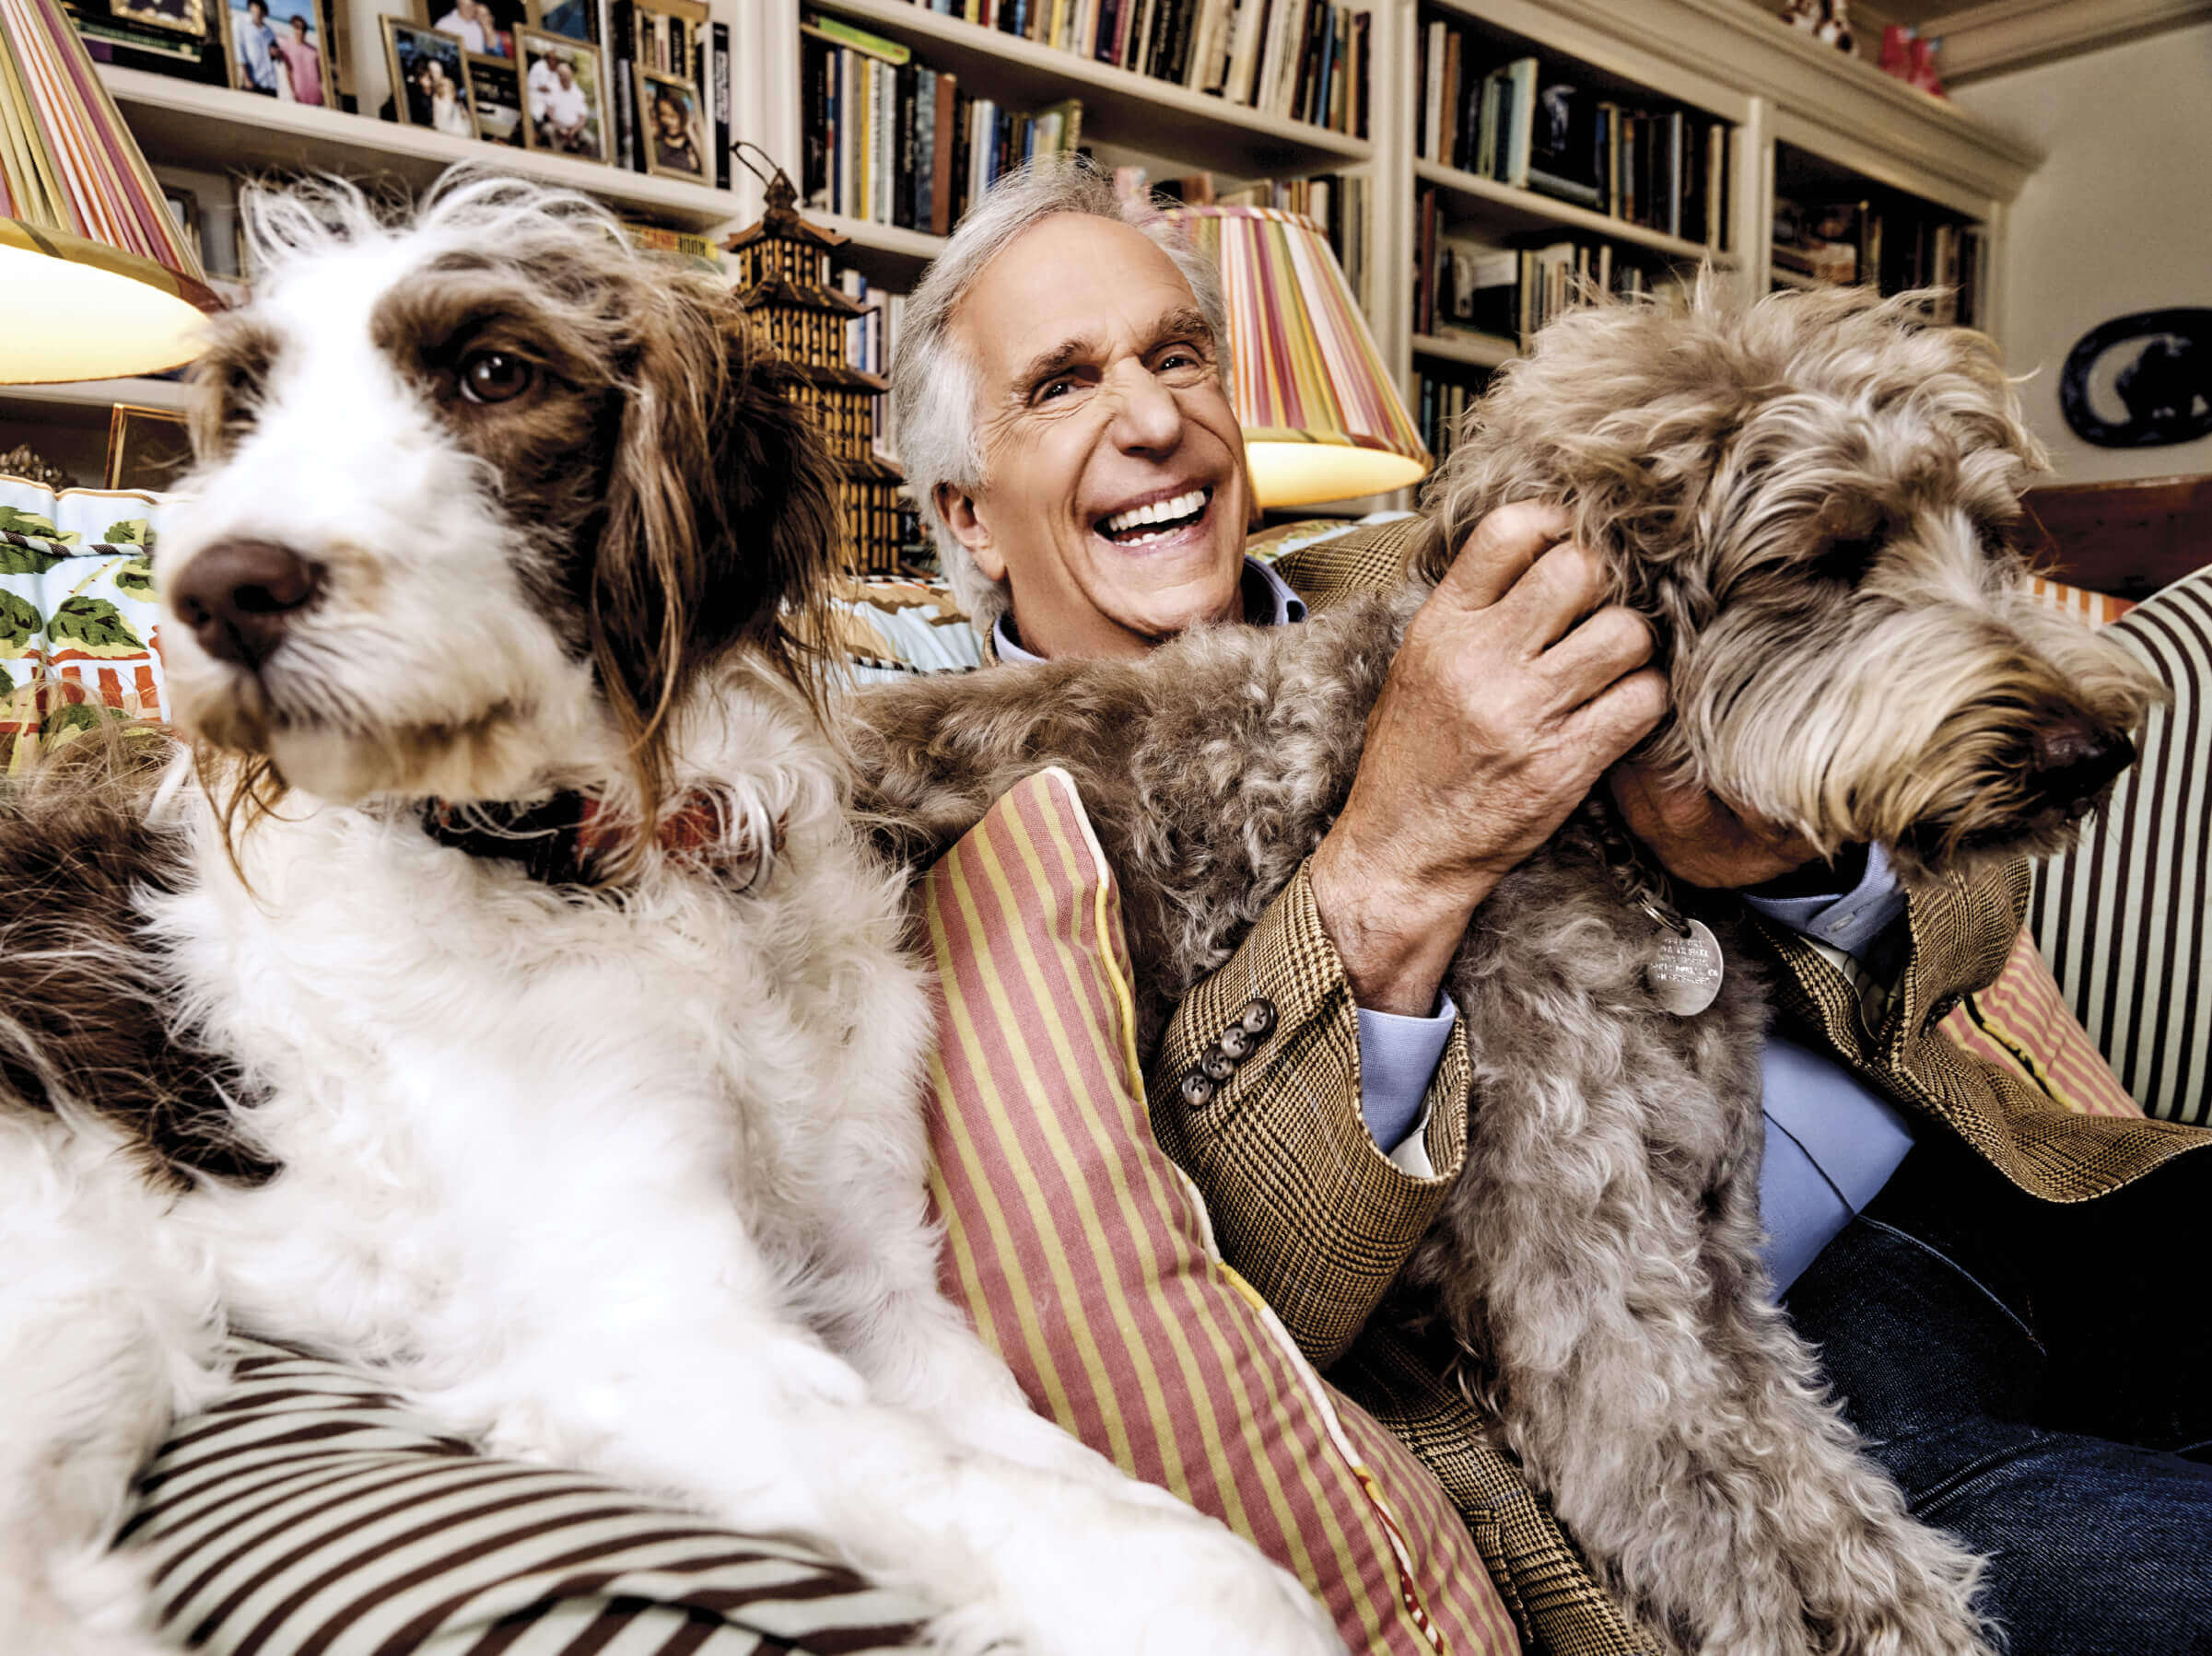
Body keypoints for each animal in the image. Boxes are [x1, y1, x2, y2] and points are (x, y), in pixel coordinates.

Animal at [0, 174, 1336, 1644]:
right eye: (246, 406)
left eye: (493, 371)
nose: (218, 591)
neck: (637, 875)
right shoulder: (653, 1338)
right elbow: (1189, 1563)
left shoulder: (873, 1281)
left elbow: (1097, 1484)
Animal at [853, 277, 2167, 1644]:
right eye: (1830, 554)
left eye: (1993, 532)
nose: (2091, 751)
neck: (1614, 847)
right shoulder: (1588, 1271)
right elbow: (1730, 1510)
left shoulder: (1713, 1249)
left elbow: (1805, 1467)